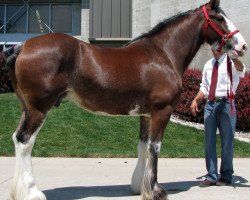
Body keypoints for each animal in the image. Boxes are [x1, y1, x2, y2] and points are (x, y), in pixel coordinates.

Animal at [0, 0, 246, 200]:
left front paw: (139, 187)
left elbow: (143, 146)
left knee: (17, 139)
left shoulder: (146, 114)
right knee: (24, 141)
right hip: (38, 109)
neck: (163, 55)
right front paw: (156, 191)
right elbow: (155, 147)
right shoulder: (162, 111)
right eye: (219, 18)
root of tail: (23, 46)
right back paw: (32, 192)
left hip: (27, 108)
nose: (242, 46)